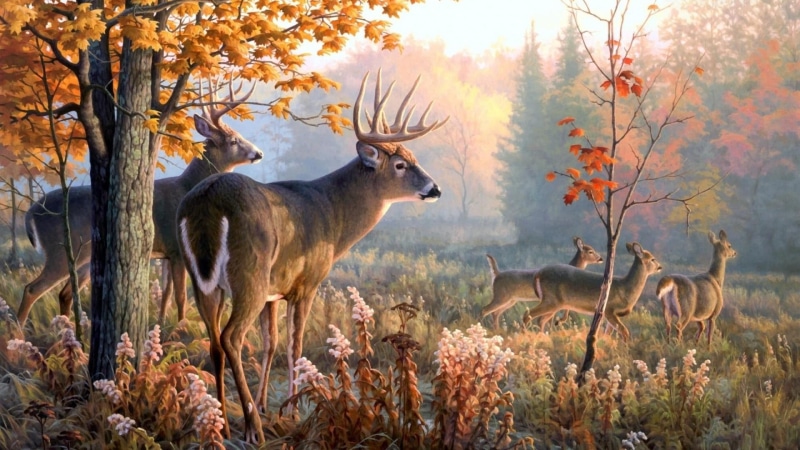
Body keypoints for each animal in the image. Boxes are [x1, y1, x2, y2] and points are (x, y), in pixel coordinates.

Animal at [17, 81, 263, 328]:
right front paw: (182, 326)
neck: (188, 187)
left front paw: (162, 324)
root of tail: (30, 213)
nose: (258, 153)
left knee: (64, 293)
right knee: (31, 289)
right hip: (59, 249)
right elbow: (181, 295)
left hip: (84, 256)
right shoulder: (176, 248)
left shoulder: (165, 253)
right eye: (234, 140)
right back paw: (19, 331)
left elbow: (165, 294)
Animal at [177, 70, 447, 443]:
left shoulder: (275, 291)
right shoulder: (306, 282)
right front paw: (290, 411)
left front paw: (268, 405)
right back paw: (252, 429)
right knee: (232, 337)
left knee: (216, 342)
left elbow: (271, 343)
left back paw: (223, 424)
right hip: (249, 273)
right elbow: (295, 345)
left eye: (413, 157)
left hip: (204, 281)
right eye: (400, 164)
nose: (435, 188)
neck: (332, 215)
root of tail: (206, 201)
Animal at [523, 242, 662, 341]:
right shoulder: (609, 310)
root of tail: (538, 273)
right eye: (652, 259)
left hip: (555, 304)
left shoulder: (610, 315)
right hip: (551, 300)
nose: (660, 267)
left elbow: (608, 334)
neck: (625, 288)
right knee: (527, 314)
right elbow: (625, 332)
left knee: (541, 320)